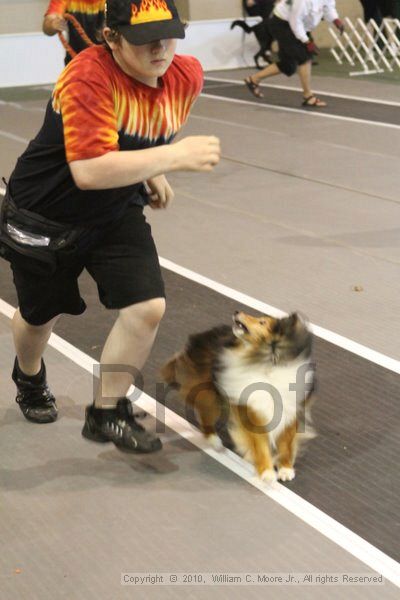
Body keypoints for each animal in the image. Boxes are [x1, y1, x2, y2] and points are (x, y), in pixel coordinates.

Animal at [162, 310, 316, 482]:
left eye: (262, 322)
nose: (237, 311)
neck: (264, 362)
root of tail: (202, 336)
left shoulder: (291, 409)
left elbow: (286, 443)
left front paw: (286, 468)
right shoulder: (252, 411)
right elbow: (260, 445)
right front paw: (267, 471)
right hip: (208, 393)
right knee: (206, 417)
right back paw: (215, 441)